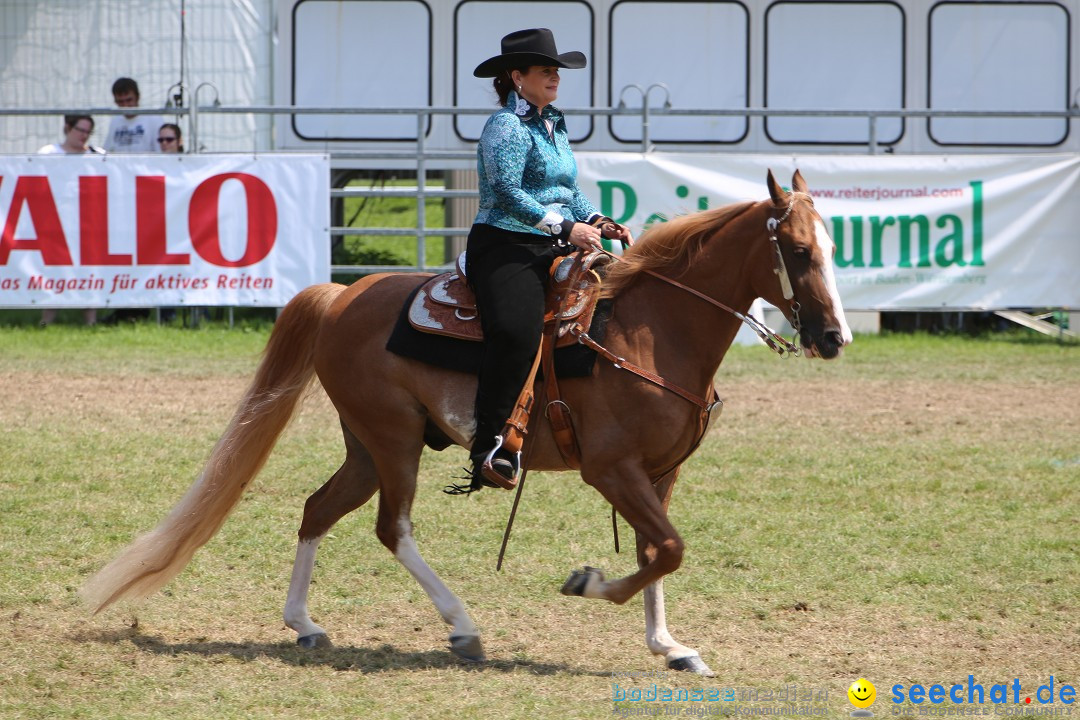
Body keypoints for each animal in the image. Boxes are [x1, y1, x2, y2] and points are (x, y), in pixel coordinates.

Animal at [82, 169, 851, 677]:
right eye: (800, 252)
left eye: (834, 248)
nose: (835, 337)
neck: (650, 332)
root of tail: (341, 296)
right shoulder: (611, 470)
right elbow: (665, 549)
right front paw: (586, 585)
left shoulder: (660, 473)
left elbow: (656, 549)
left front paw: (671, 646)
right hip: (393, 441)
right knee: (392, 528)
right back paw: (462, 629)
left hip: (366, 446)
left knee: (318, 508)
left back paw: (304, 625)